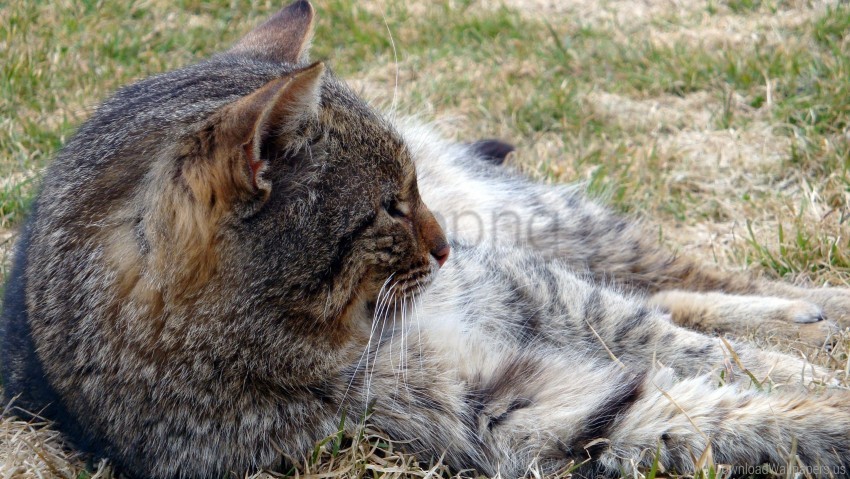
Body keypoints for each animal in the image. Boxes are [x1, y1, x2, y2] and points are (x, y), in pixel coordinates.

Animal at [4, 0, 848, 479]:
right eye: (389, 206)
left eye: (413, 187)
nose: (444, 245)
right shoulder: (500, 407)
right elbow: (703, 410)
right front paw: (820, 406)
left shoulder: (527, 286)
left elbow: (671, 338)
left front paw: (802, 367)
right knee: (671, 290)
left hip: (552, 226)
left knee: (686, 277)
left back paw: (819, 307)